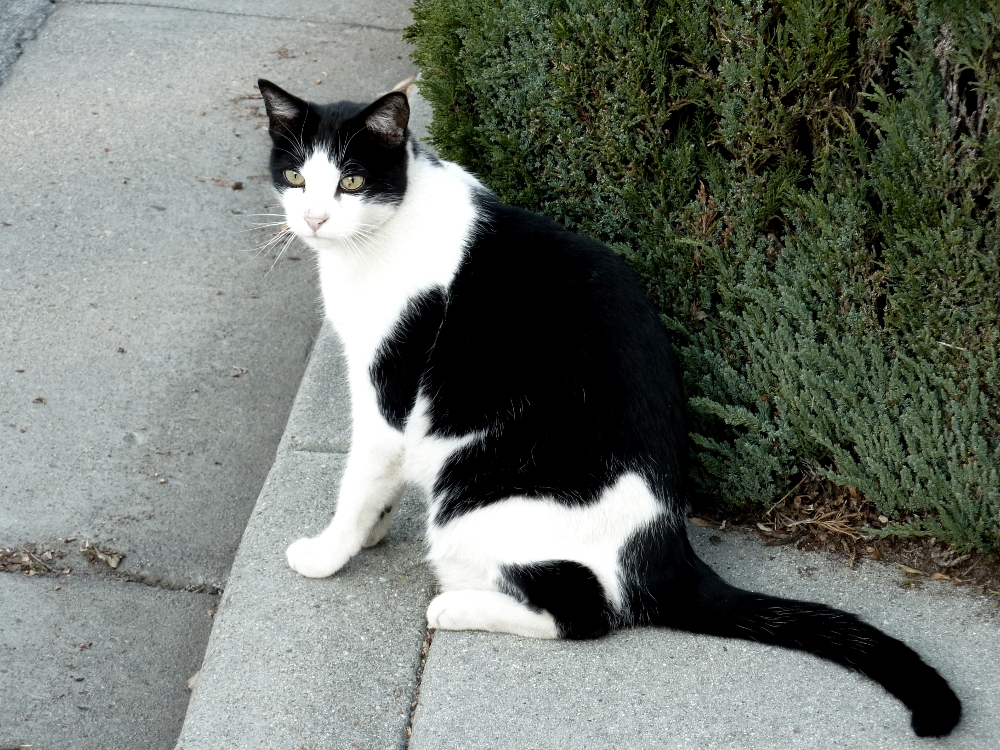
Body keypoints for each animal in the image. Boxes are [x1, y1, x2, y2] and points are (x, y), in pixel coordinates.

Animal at [256, 79, 960, 736]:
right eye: (296, 177)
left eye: (351, 180)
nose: (313, 219)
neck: (382, 235)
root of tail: (668, 551)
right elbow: (375, 489)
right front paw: (372, 532)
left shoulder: (388, 398)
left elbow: (360, 480)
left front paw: (329, 553)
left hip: (473, 504)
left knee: (586, 612)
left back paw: (456, 606)